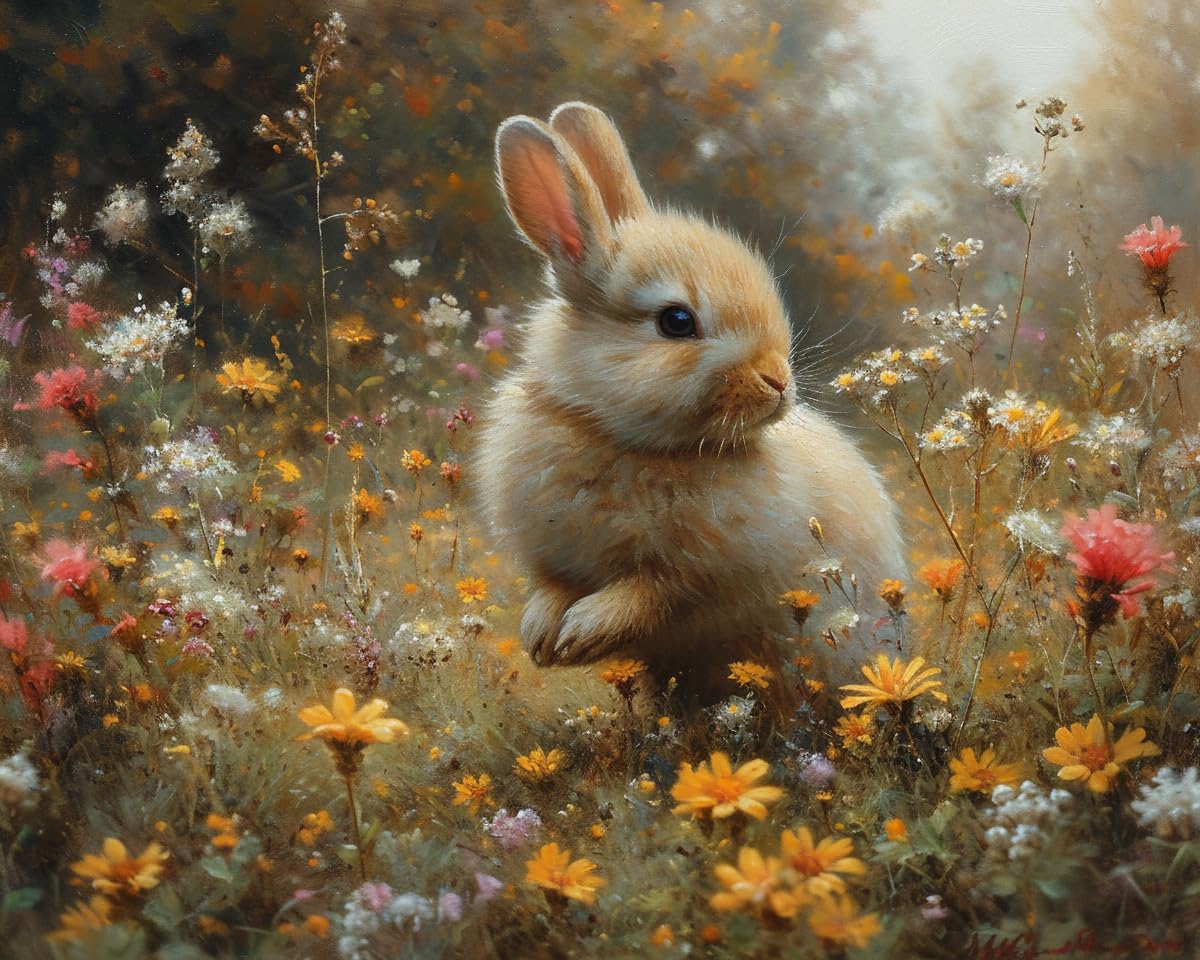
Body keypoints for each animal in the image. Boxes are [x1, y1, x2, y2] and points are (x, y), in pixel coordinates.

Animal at [476, 101, 907, 700]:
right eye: (676, 321)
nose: (778, 382)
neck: (626, 441)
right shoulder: (553, 556)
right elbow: (551, 585)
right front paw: (541, 636)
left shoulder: (698, 574)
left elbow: (649, 594)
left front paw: (581, 633)